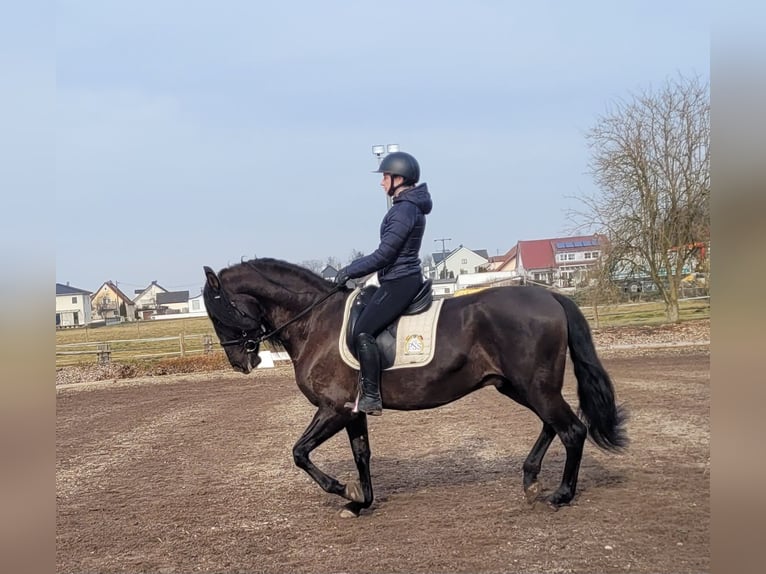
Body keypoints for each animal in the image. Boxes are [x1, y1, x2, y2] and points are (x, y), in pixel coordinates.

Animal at [204, 258, 632, 520]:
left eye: (219, 310)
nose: (240, 362)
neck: (317, 322)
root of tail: (550, 295)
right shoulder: (352, 411)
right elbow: (362, 455)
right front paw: (360, 502)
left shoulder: (334, 409)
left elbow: (299, 453)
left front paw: (342, 489)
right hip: (519, 386)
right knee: (553, 424)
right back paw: (530, 481)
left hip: (534, 386)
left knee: (572, 430)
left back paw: (561, 495)